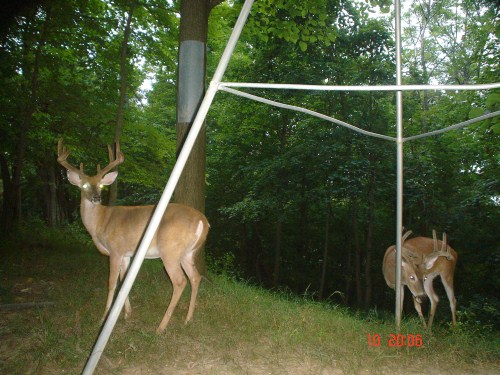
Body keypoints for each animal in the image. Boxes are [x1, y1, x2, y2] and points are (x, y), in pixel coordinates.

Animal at [57, 140, 209, 334]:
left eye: (101, 185)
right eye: (84, 185)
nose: (96, 198)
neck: (100, 222)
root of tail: (202, 220)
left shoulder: (115, 250)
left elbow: (112, 282)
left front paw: (103, 318)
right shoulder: (126, 254)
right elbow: (123, 281)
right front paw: (126, 314)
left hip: (170, 250)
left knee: (180, 281)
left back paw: (161, 327)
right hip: (188, 252)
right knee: (195, 277)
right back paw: (188, 319)